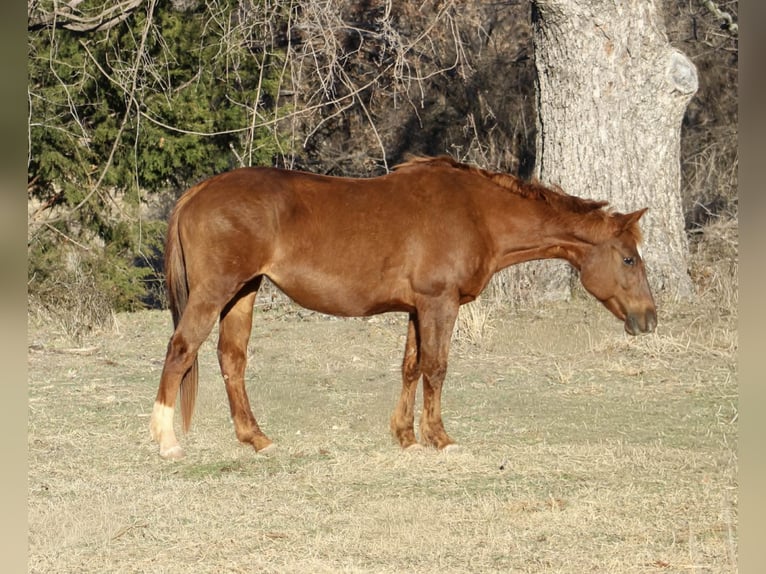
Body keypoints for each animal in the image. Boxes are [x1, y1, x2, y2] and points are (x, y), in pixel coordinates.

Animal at [149, 155, 657, 459]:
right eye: (629, 258)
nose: (649, 318)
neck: (477, 213)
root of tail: (199, 191)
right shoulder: (439, 303)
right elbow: (436, 367)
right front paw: (440, 438)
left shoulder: (418, 308)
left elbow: (411, 367)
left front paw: (406, 437)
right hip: (216, 292)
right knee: (181, 350)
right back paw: (167, 441)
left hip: (244, 293)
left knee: (231, 360)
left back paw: (256, 438)